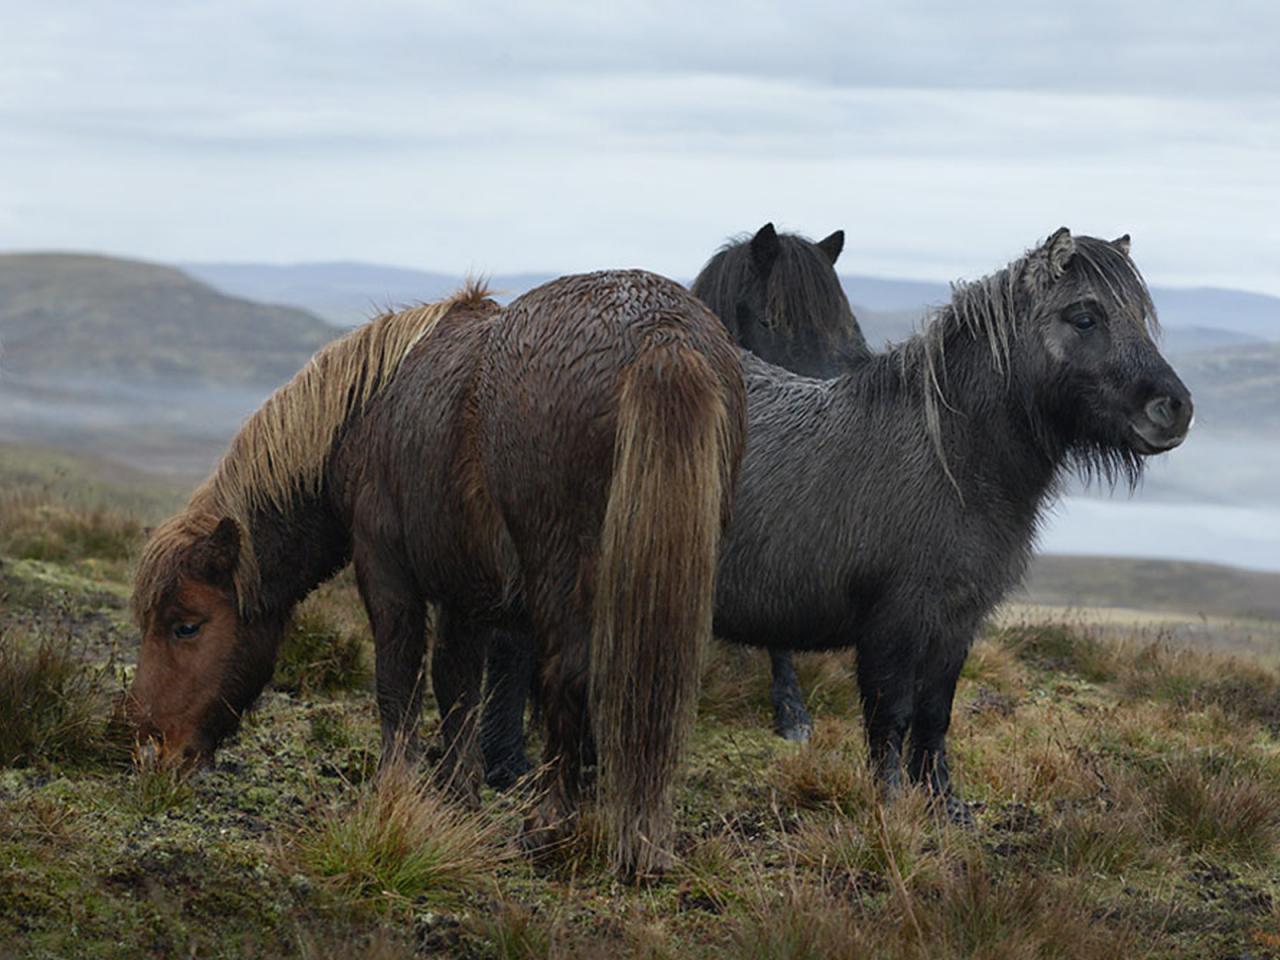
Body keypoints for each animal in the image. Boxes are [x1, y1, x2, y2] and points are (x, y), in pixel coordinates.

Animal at [124, 268, 747, 880]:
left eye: (186, 626)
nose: (152, 751)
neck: (365, 413)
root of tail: (663, 337)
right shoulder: (465, 595)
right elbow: (457, 687)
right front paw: (456, 796)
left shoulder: (387, 573)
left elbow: (399, 681)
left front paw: (393, 790)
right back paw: (640, 840)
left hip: (561, 574)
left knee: (568, 678)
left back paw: (547, 828)